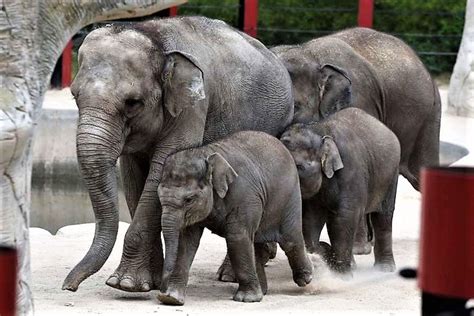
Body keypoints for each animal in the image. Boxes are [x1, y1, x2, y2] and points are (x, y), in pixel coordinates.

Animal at [63, 16, 292, 292]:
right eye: (74, 96)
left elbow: (163, 169)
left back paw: (231, 276)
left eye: (132, 102)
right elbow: (133, 180)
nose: (68, 287)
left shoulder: (193, 107)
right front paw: (143, 283)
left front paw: (124, 284)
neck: (153, 35)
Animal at [156, 130, 312, 304]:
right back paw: (263, 291)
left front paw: (246, 299)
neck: (205, 153)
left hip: (289, 195)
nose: (161, 291)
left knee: (290, 239)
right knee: (256, 242)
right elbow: (187, 240)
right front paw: (172, 299)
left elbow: (237, 237)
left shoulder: (243, 194)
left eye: (189, 199)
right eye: (159, 195)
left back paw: (306, 279)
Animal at [280, 108, 402, 274]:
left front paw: (342, 274)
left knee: (383, 216)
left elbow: (344, 217)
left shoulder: (351, 170)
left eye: (299, 167)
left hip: (391, 175)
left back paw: (384, 269)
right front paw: (322, 254)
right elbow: (311, 218)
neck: (320, 130)